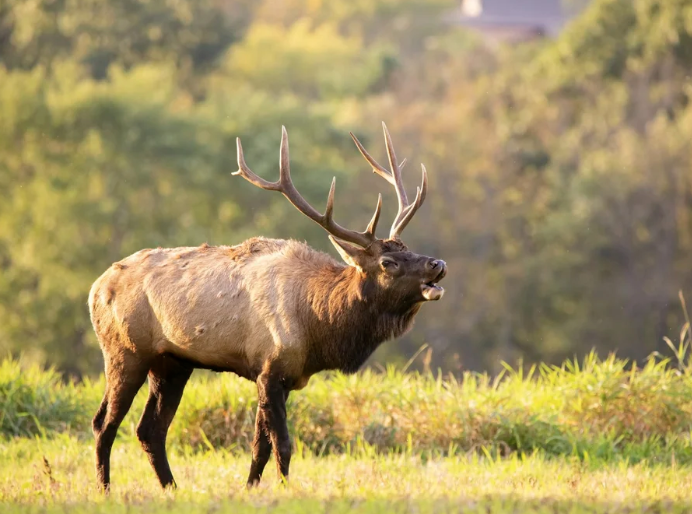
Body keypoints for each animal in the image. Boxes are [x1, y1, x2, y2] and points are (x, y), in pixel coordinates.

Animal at [88, 123, 447, 492]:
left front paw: (250, 488)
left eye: (409, 248)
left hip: (171, 363)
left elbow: (259, 446)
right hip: (125, 351)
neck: (318, 326)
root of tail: (96, 288)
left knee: (150, 429)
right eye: (388, 262)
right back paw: (105, 489)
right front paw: (284, 489)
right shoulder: (270, 369)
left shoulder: (282, 377)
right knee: (104, 423)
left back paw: (171, 488)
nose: (437, 264)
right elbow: (283, 444)